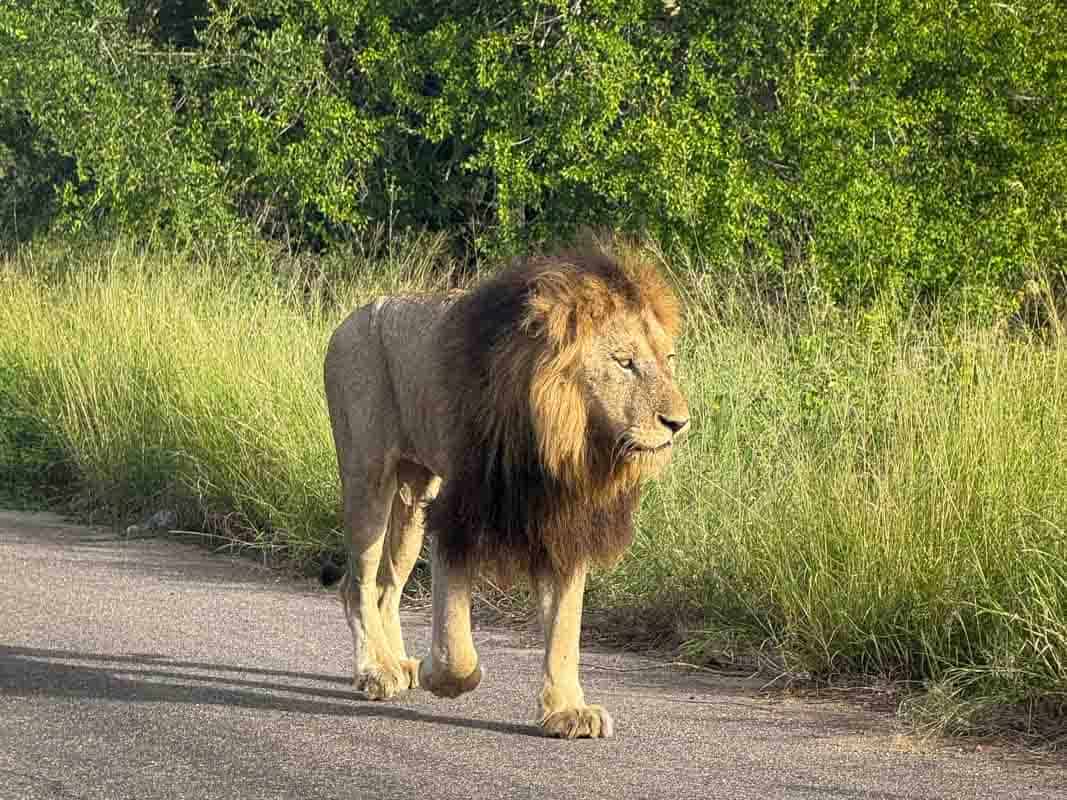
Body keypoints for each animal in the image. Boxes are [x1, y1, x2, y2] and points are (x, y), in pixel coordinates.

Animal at [320, 243, 687, 738]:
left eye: (669, 359)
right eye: (624, 362)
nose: (679, 422)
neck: (561, 437)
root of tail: (351, 318)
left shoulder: (565, 523)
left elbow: (565, 629)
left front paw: (568, 711)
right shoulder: (459, 514)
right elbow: (456, 645)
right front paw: (440, 675)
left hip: (413, 499)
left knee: (383, 587)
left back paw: (397, 663)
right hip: (368, 479)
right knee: (355, 584)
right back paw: (377, 671)